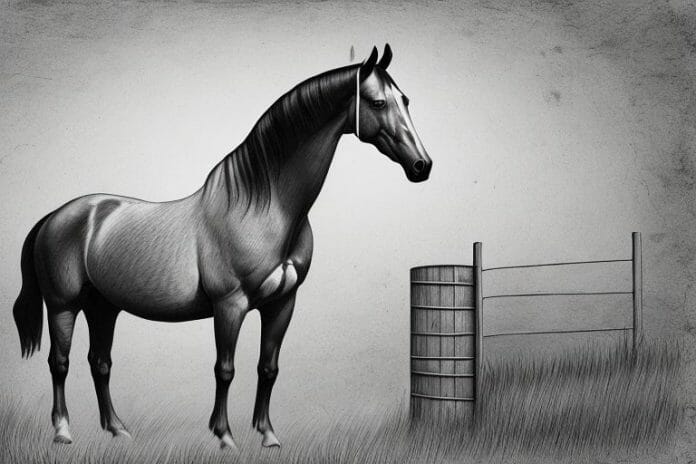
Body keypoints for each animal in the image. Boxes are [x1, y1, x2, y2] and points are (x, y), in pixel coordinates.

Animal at [12, 44, 431, 449]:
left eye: (407, 100)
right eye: (377, 102)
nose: (422, 166)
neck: (266, 208)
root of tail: (57, 216)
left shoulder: (282, 303)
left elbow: (268, 368)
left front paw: (267, 434)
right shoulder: (230, 305)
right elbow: (225, 369)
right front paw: (224, 435)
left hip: (103, 307)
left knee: (99, 362)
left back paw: (117, 430)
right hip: (63, 306)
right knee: (60, 363)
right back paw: (63, 431)